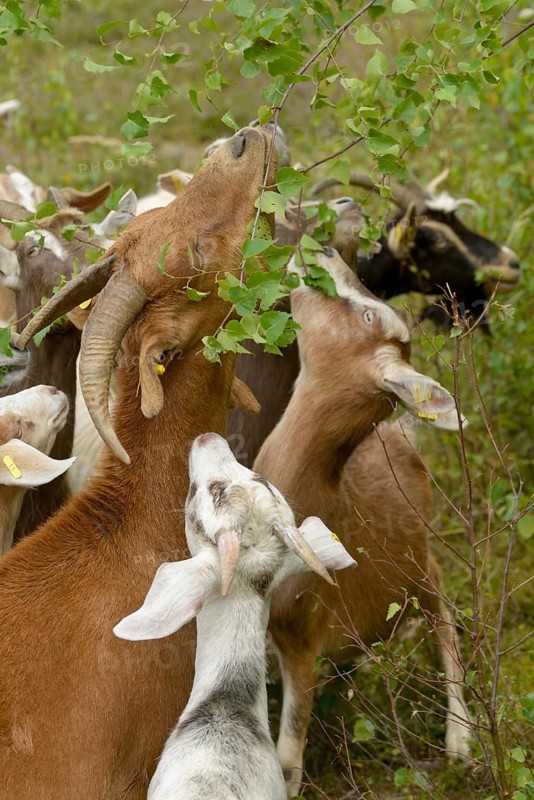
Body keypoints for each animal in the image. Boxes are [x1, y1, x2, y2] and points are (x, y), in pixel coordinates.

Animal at [254, 248, 471, 796]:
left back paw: (460, 739)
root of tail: (403, 436)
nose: (324, 251)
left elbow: (286, 756)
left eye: (370, 315)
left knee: (443, 609)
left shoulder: (301, 632)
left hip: (420, 568)